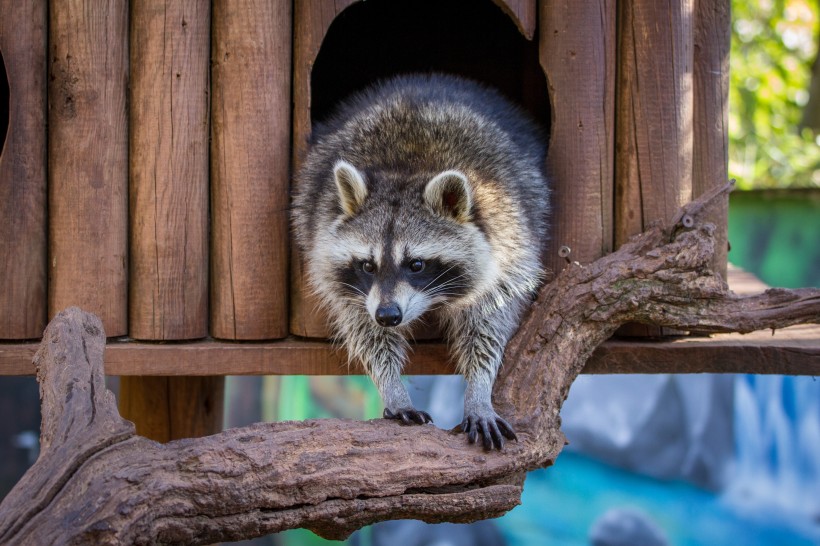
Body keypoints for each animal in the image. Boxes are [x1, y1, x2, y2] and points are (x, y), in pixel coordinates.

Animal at [292, 72, 548, 448]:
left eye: (416, 265)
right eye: (367, 265)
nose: (388, 315)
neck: (409, 169)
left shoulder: (511, 244)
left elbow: (488, 325)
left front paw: (479, 388)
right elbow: (366, 331)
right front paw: (392, 387)